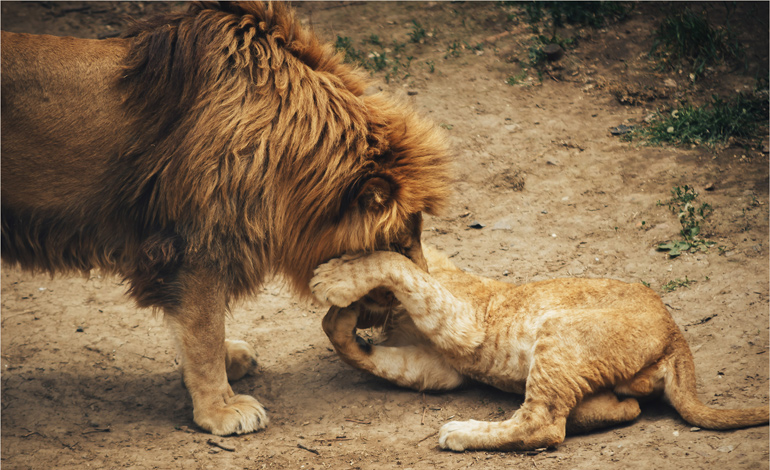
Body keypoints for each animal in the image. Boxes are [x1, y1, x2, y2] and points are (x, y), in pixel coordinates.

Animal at [1, 2, 450, 436]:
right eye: (399, 242)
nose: (413, 299)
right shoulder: (196, 245)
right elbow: (203, 327)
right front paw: (220, 409)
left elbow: (193, 325)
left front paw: (225, 365)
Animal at [311, 247, 770, 452]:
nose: (373, 318)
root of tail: (676, 334)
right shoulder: (439, 367)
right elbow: (360, 351)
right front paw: (341, 317)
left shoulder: (467, 323)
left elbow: (393, 261)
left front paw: (334, 278)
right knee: (619, 410)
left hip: (559, 331)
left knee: (543, 425)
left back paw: (460, 432)